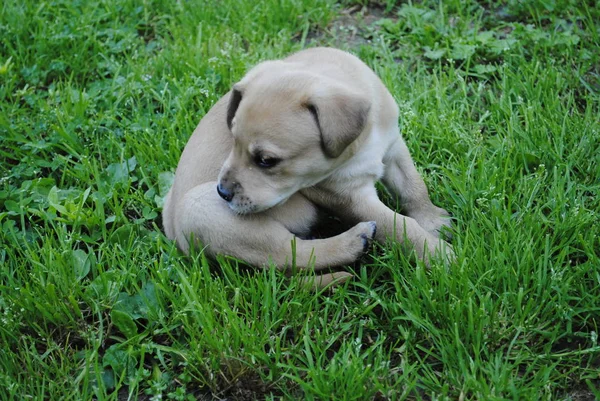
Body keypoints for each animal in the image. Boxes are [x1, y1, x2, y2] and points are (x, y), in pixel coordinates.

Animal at [162, 47, 452, 288]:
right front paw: (440, 255)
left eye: (266, 160)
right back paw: (352, 241)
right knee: (291, 254)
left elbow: (413, 186)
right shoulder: (348, 197)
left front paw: (432, 221)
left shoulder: (393, 148)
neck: (362, 142)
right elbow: (400, 226)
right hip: (204, 210)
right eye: (233, 141)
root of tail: (178, 242)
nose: (222, 192)